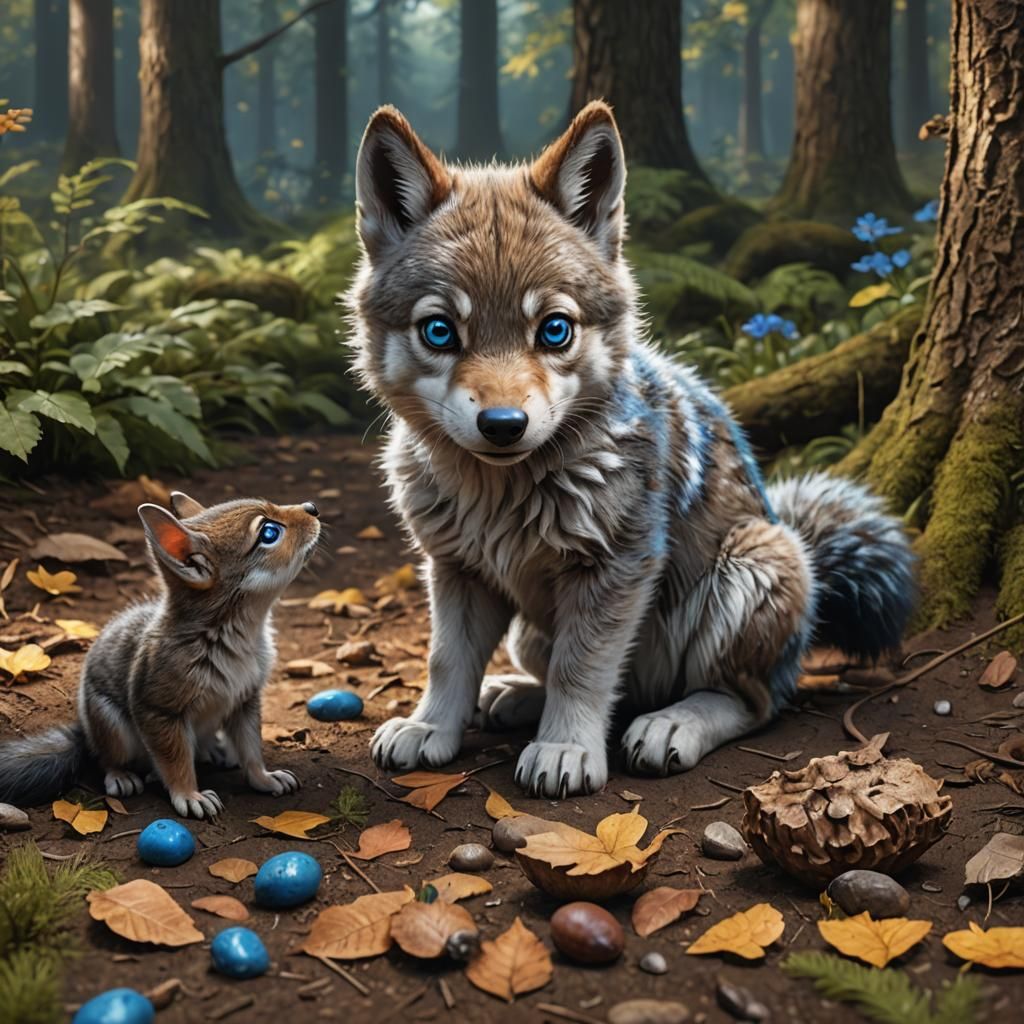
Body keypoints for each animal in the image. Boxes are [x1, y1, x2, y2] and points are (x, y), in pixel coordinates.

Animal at [0, 491, 321, 819]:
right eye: (269, 533)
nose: (313, 508)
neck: (241, 633)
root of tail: (86, 733)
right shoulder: (159, 707)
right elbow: (175, 759)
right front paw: (190, 796)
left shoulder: (245, 698)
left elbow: (251, 748)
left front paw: (266, 779)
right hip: (112, 728)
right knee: (109, 758)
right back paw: (122, 775)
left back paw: (215, 750)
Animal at [347, 100, 914, 799]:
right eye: (438, 331)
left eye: (554, 330)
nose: (504, 424)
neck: (501, 495)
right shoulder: (456, 569)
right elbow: (446, 660)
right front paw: (430, 728)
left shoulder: (617, 570)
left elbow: (583, 670)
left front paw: (564, 748)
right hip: (531, 631)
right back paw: (515, 696)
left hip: (748, 570)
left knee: (749, 702)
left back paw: (670, 724)